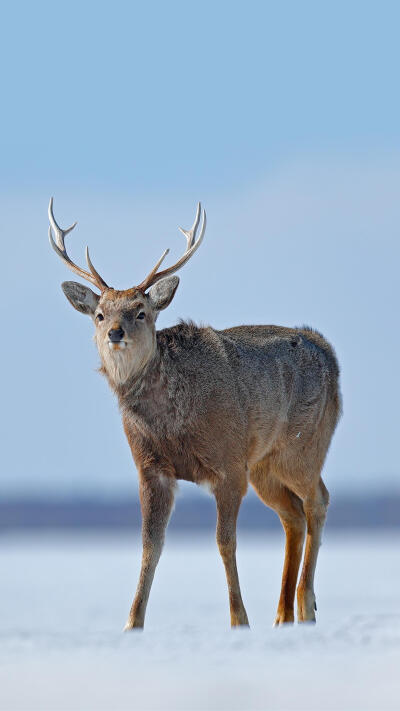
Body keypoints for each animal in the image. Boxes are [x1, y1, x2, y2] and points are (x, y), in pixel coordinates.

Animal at [47, 199, 340, 628]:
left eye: (141, 311)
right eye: (99, 314)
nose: (115, 332)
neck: (172, 423)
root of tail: (330, 352)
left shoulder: (229, 463)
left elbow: (224, 542)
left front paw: (239, 620)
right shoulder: (150, 467)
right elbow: (150, 546)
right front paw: (132, 624)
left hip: (303, 446)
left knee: (317, 500)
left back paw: (305, 606)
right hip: (265, 466)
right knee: (293, 516)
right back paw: (282, 615)